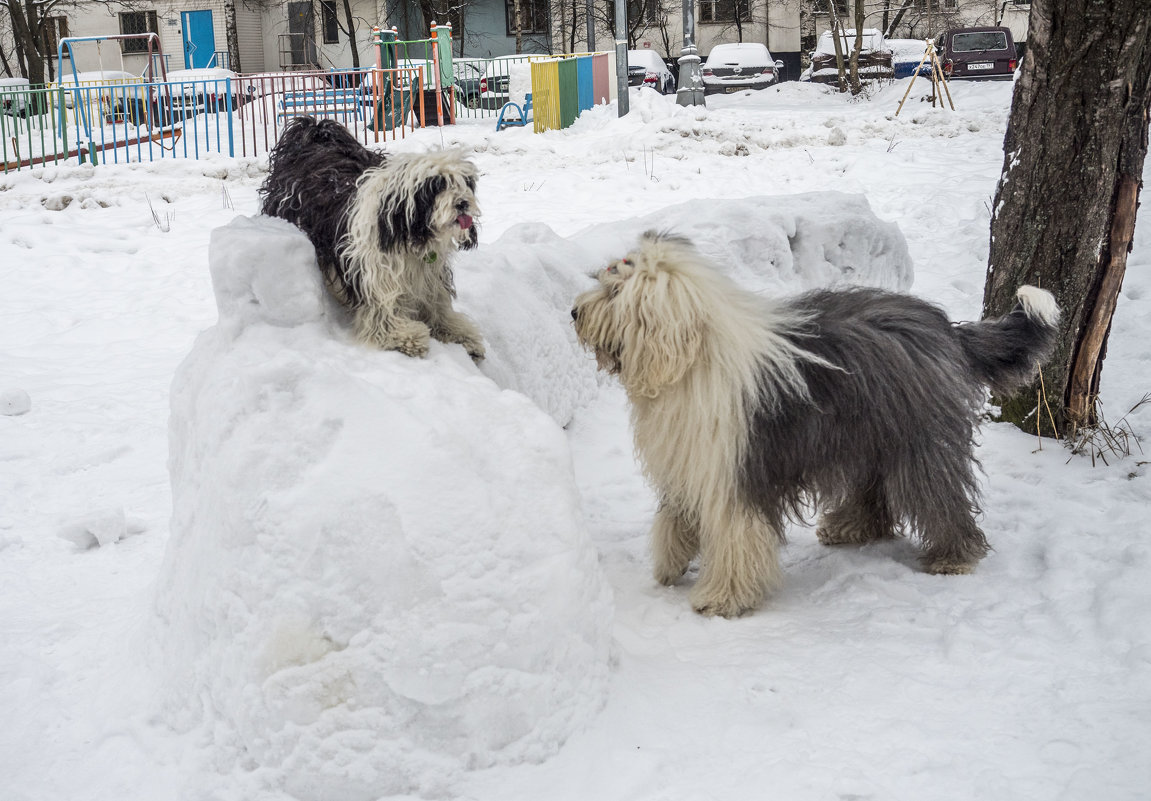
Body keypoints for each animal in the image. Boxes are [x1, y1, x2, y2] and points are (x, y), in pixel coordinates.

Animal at [261, 115, 485, 359]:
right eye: (437, 185)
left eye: (465, 183)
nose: (462, 203)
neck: (407, 235)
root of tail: (314, 133)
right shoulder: (376, 280)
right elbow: (383, 319)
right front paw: (409, 336)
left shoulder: (430, 280)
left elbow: (439, 312)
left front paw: (462, 334)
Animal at [573, 231, 1058, 621]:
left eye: (615, 292)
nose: (574, 313)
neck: (691, 360)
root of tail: (947, 329)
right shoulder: (693, 461)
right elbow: (675, 516)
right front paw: (670, 564)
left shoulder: (738, 471)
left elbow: (734, 537)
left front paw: (722, 598)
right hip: (871, 435)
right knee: (873, 489)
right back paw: (850, 527)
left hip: (916, 439)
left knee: (935, 493)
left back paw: (953, 557)